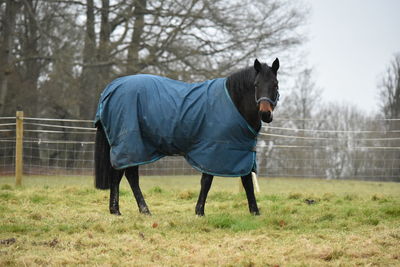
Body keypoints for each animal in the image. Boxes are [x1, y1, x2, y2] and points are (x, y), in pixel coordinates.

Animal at [95, 57, 280, 217]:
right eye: (256, 84)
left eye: (275, 84)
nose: (265, 114)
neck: (234, 103)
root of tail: (111, 88)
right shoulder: (212, 151)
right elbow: (207, 181)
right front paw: (200, 211)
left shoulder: (242, 152)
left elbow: (247, 182)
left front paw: (255, 212)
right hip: (129, 145)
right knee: (123, 175)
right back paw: (129, 210)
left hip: (132, 147)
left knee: (125, 175)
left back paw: (128, 210)